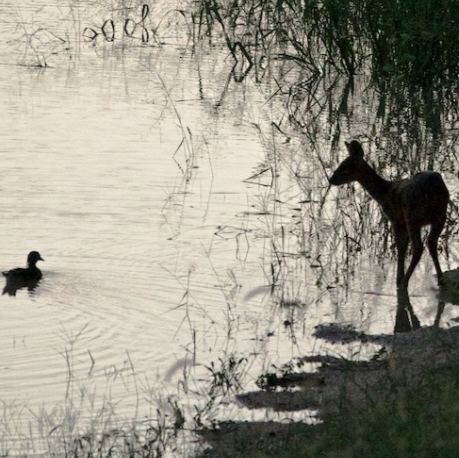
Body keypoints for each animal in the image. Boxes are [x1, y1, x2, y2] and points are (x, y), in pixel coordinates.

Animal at [328, 140, 452, 290]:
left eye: (344, 167)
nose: (331, 179)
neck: (384, 194)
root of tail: (433, 188)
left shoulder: (396, 219)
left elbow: (401, 247)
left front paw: (398, 279)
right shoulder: (401, 221)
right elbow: (403, 246)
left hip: (412, 215)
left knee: (418, 247)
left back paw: (404, 282)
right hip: (440, 214)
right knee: (431, 242)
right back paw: (440, 278)